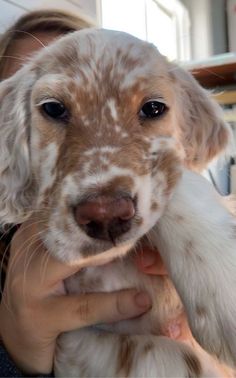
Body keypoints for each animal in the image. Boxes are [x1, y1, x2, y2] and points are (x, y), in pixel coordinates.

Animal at [0, 28, 236, 376]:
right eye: (53, 108)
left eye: (153, 108)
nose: (105, 217)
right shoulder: (72, 338)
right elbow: (165, 356)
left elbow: (175, 173)